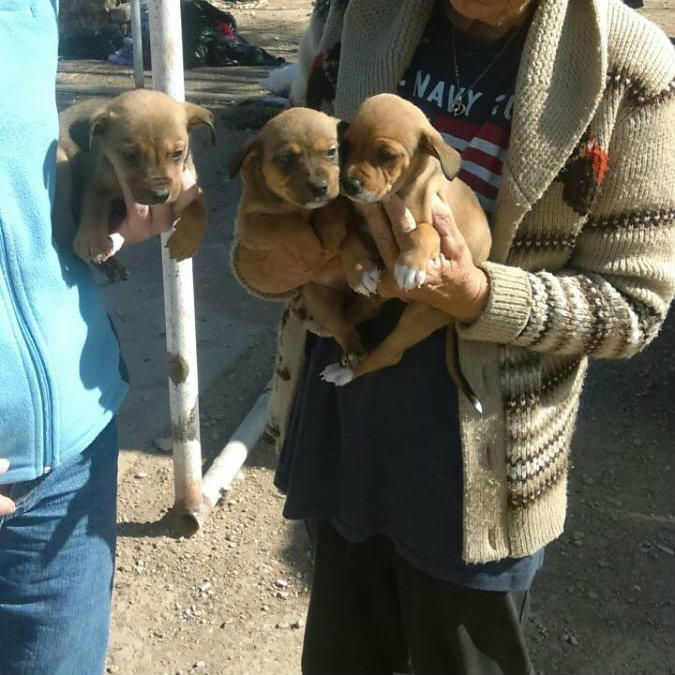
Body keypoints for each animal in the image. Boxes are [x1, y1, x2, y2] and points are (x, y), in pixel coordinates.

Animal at [60, 92, 215, 264]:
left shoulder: (189, 187)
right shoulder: (99, 183)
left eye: (177, 154)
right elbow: (94, 205)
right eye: (129, 156)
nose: (161, 195)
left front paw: (185, 242)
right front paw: (91, 239)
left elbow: (198, 208)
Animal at [230, 108, 382, 362]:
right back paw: (352, 350)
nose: (319, 187)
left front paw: (331, 233)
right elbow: (289, 224)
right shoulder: (250, 224)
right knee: (340, 325)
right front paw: (313, 252)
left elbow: (334, 208)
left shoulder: (344, 199)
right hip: (318, 298)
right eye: (286, 159)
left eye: (331, 152)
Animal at [322, 93, 492, 412]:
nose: (348, 184)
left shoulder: (436, 218)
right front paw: (359, 270)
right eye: (347, 145)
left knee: (390, 353)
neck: (399, 193)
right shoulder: (361, 219)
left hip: (419, 316)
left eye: (387, 155)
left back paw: (347, 370)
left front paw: (410, 265)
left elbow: (426, 231)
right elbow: (350, 237)